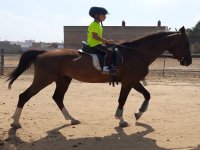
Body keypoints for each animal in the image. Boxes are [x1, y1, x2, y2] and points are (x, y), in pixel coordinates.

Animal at [7, 26, 192, 128]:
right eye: (186, 43)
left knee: (57, 98)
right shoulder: (128, 82)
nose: (189, 61)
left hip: (63, 80)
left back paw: (72, 119)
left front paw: (139, 114)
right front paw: (121, 119)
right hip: (44, 79)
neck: (137, 53)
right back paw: (15, 122)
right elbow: (122, 100)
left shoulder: (133, 81)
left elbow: (147, 95)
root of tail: (43, 52)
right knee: (24, 96)